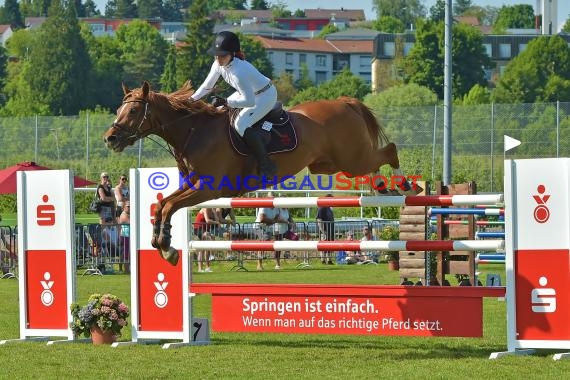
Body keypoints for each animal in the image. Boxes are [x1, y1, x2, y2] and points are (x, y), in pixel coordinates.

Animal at [103, 81, 418, 264]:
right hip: (331, 163)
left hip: (351, 159)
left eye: (133, 112)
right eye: (119, 110)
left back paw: (406, 186)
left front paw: (165, 246)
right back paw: (384, 187)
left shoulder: (208, 188)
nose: (110, 138)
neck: (195, 131)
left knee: (388, 151)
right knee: (375, 164)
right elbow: (164, 205)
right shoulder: (193, 185)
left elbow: (169, 206)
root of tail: (344, 102)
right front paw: (161, 242)